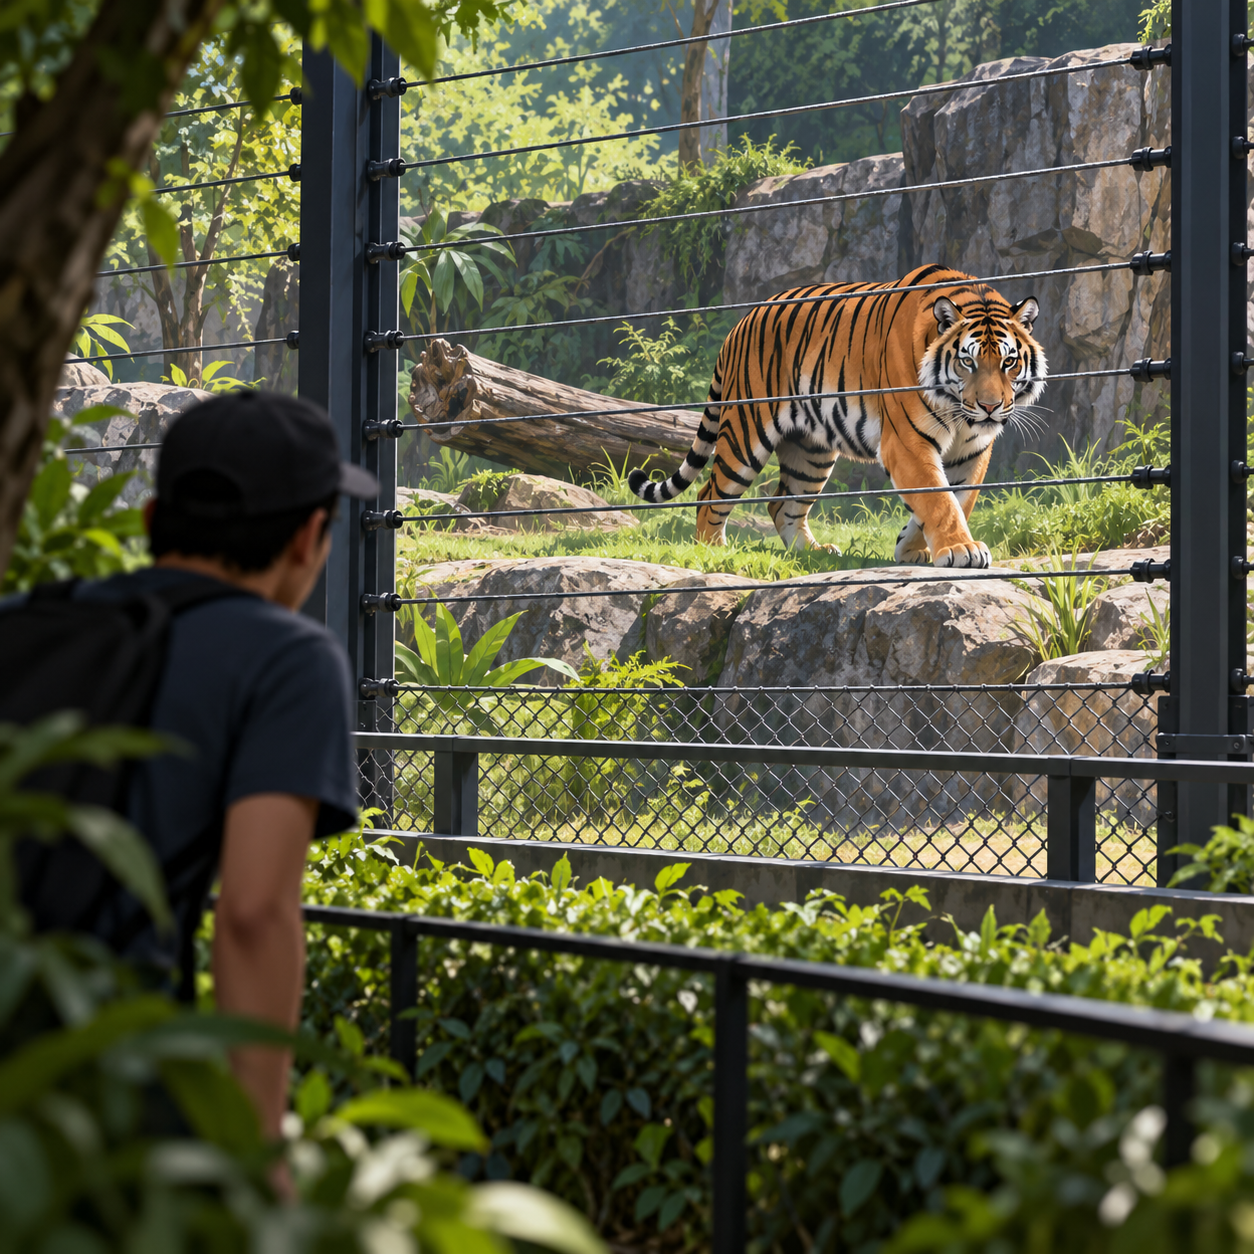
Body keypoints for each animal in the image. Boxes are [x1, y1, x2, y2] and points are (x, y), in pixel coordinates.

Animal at [628, 264, 1048, 568]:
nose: (990, 406)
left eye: (1008, 362)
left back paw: (812, 552)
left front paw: (911, 548)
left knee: (783, 504)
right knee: (708, 495)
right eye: (968, 362)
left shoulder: (973, 450)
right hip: (745, 435)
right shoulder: (908, 442)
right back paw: (713, 551)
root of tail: (740, 323)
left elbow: (959, 498)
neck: (959, 413)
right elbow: (939, 499)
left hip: (811, 452)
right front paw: (961, 550)